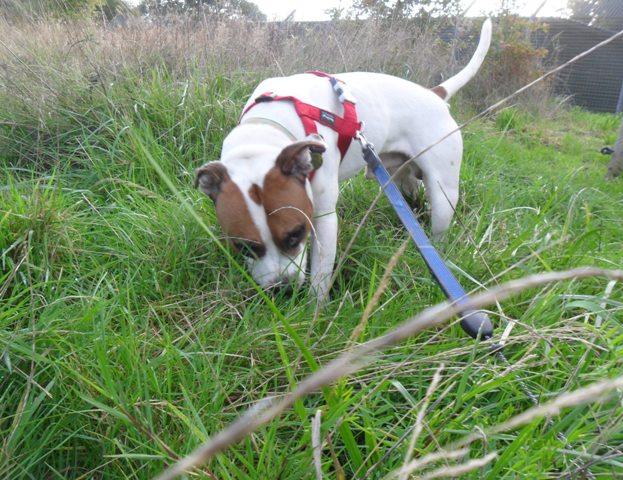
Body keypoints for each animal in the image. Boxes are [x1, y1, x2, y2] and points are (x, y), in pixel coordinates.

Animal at [195, 20, 492, 302]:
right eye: (243, 246)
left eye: (296, 233)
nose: (283, 289)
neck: (265, 128)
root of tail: (434, 93)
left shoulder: (324, 218)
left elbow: (320, 276)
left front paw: (312, 312)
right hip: (401, 177)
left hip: (443, 193)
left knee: (439, 225)